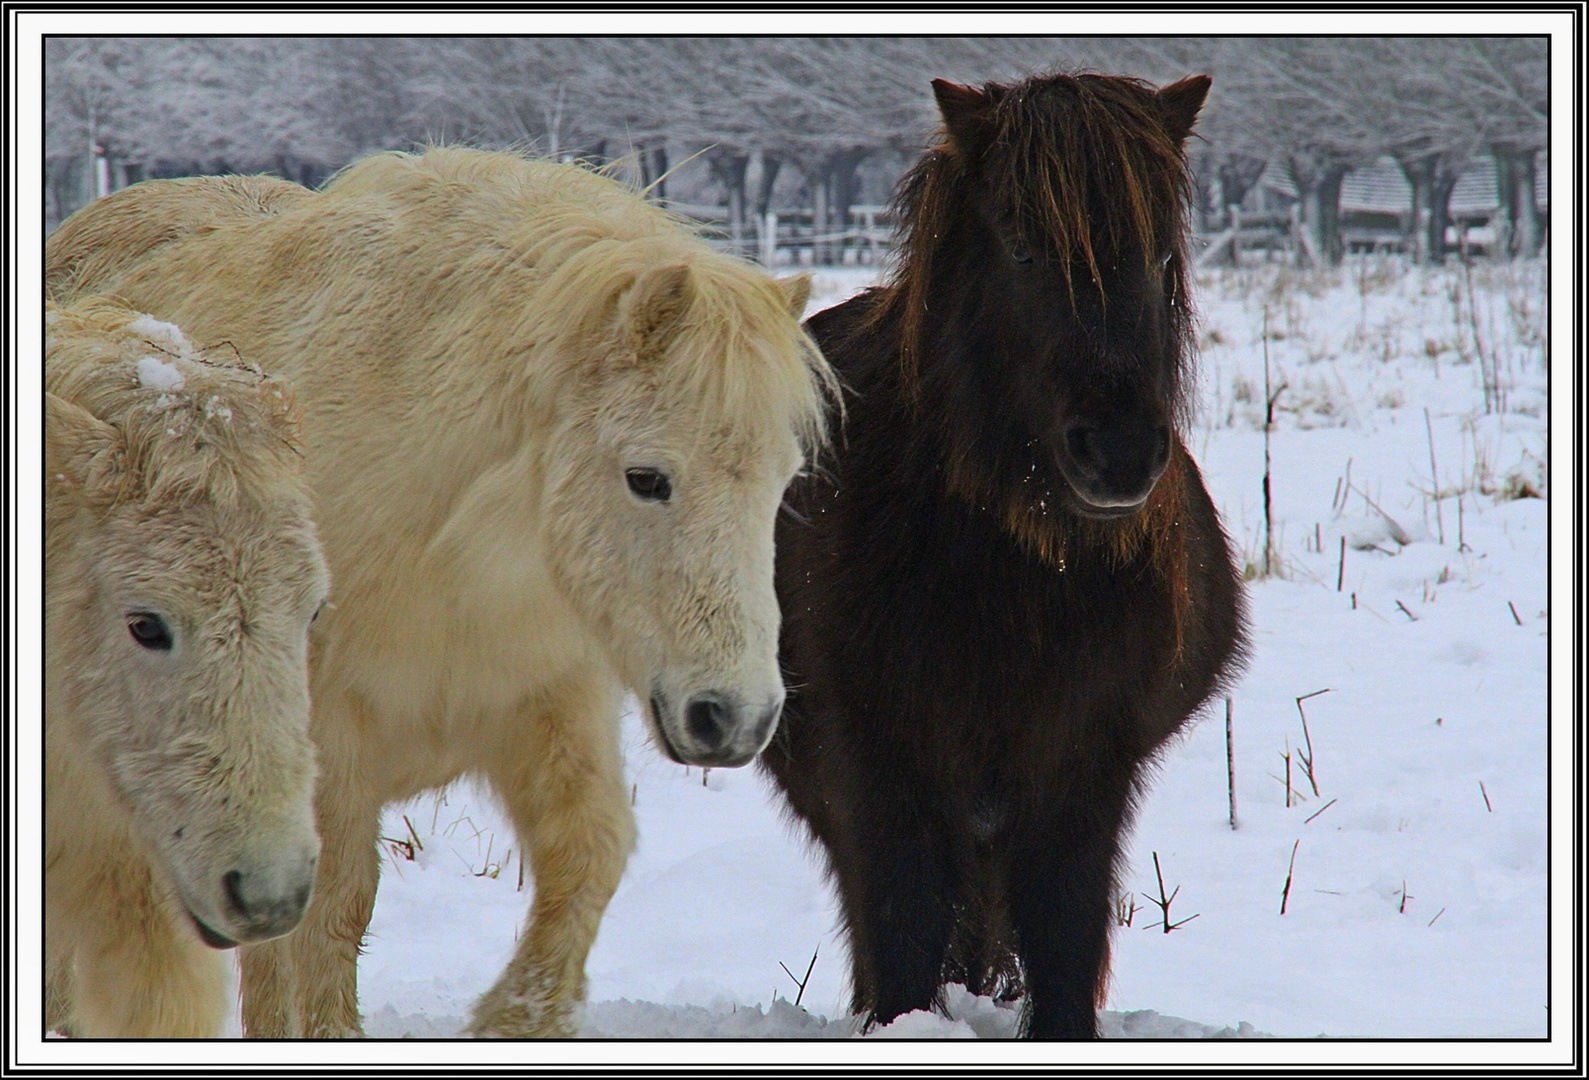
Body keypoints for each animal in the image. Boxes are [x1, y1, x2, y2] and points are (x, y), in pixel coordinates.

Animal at [762, 69, 1245, 1035]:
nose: (1120, 452)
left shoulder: (1081, 766)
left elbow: (1063, 933)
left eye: (1160, 259)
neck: (1013, 576)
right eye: (1023, 251)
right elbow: (901, 928)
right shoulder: (883, 763)